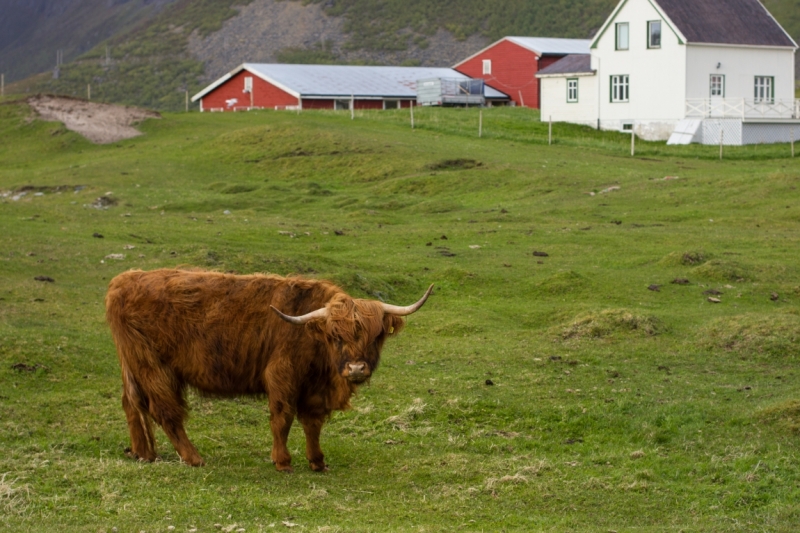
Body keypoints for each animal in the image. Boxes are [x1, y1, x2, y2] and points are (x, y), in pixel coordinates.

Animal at [107, 268, 434, 472]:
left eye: (375, 335)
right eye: (335, 336)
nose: (355, 368)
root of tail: (124, 280)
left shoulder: (314, 389)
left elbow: (312, 423)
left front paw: (317, 461)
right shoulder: (282, 374)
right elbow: (282, 418)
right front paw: (282, 461)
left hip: (132, 367)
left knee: (131, 404)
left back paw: (143, 453)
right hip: (153, 367)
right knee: (165, 412)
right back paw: (194, 458)